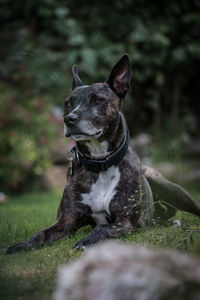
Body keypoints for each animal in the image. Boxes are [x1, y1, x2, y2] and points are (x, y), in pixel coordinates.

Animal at [6, 54, 200, 253]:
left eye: (98, 100)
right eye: (68, 103)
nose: (69, 119)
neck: (100, 163)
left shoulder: (124, 222)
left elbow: (102, 228)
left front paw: (85, 241)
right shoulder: (65, 221)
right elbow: (42, 233)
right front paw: (23, 245)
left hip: (172, 189)